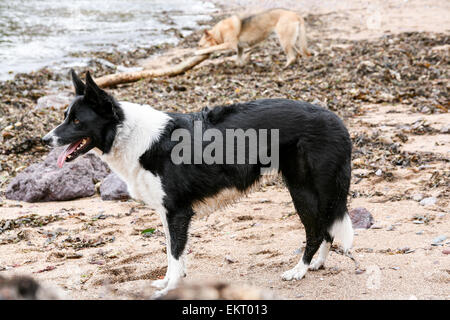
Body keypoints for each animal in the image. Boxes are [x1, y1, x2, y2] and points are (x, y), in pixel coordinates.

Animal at [43, 70, 352, 298]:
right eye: (65, 117)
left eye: (77, 120)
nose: (45, 140)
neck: (126, 133)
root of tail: (337, 121)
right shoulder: (167, 212)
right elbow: (172, 253)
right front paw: (169, 281)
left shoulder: (177, 212)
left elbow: (174, 252)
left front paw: (170, 288)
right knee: (326, 226)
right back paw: (318, 263)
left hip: (302, 189)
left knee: (316, 230)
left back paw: (300, 269)